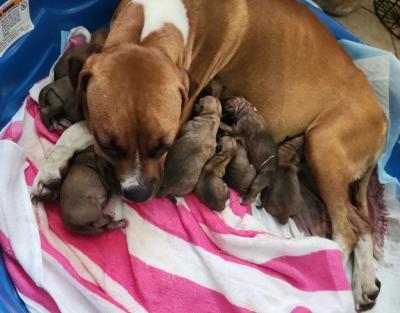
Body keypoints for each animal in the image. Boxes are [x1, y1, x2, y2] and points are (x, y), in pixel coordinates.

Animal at [32, 0, 386, 308]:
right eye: (108, 146)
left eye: (164, 145)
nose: (139, 194)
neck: (153, 27)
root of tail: (382, 117)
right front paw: (50, 172)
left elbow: (77, 129)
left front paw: (52, 169)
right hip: (317, 166)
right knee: (361, 222)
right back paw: (364, 283)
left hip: (323, 149)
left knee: (346, 230)